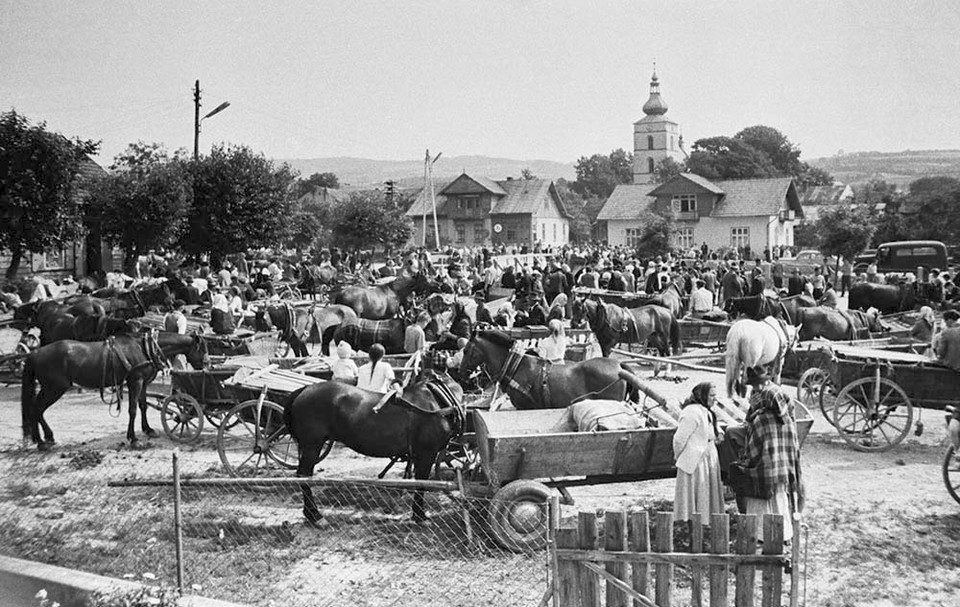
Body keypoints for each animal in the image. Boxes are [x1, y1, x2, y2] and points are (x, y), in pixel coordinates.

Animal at [21, 332, 207, 452]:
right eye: (203, 349)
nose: (207, 365)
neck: (144, 349)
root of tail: (36, 353)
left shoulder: (143, 383)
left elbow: (143, 406)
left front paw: (148, 430)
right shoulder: (135, 381)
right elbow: (132, 410)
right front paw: (133, 439)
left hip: (51, 389)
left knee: (36, 410)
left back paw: (46, 438)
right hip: (54, 388)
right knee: (36, 410)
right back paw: (41, 441)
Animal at [284, 370, 464, 524]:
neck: (436, 400)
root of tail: (304, 390)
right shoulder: (426, 453)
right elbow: (422, 483)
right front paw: (419, 516)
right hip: (312, 444)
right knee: (304, 476)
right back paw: (315, 516)